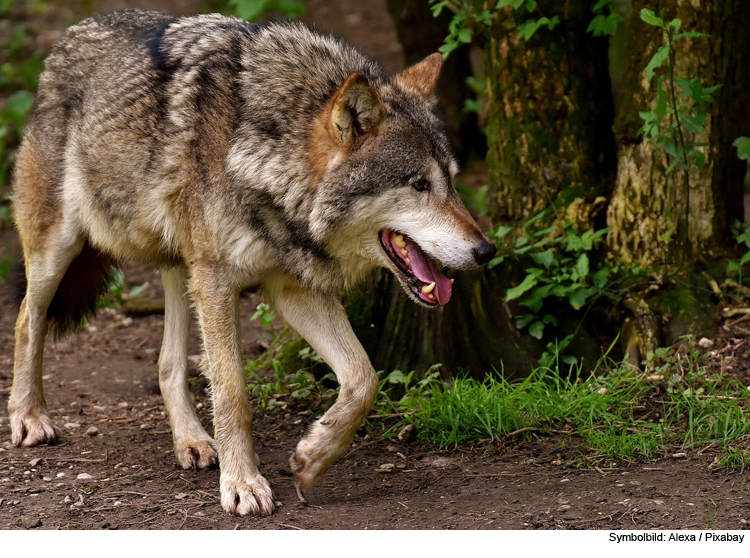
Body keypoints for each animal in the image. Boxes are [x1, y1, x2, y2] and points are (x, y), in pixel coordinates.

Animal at [8, 9, 500, 516]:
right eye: (419, 184)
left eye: (453, 182)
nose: (486, 250)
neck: (266, 158)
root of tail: (71, 34)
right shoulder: (219, 281)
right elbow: (233, 392)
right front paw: (242, 483)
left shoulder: (290, 288)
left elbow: (364, 378)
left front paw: (313, 458)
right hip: (61, 249)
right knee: (27, 319)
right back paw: (29, 417)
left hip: (182, 268)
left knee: (167, 363)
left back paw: (192, 442)